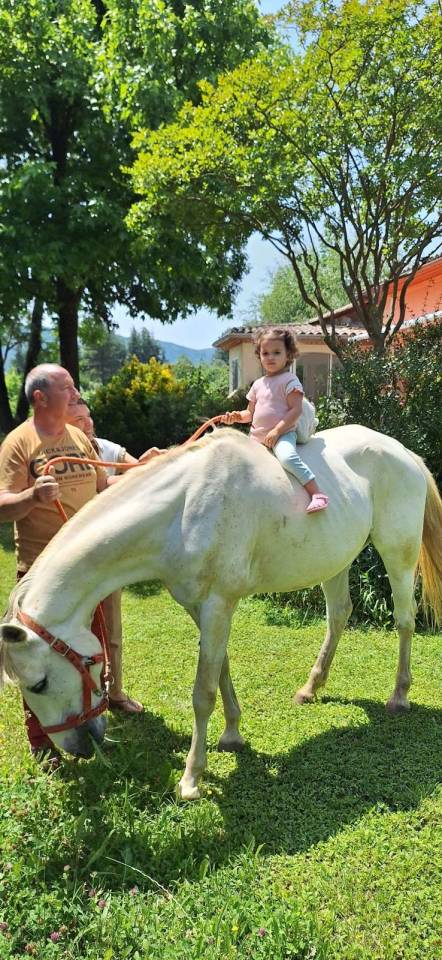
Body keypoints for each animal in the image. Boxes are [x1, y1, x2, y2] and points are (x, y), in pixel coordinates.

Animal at [1, 426, 441, 799]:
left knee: (405, 620)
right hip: (335, 561)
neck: (181, 510)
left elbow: (203, 692)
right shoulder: (201, 606)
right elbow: (221, 668)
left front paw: (192, 777)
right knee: (338, 615)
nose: (77, 746)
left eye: (39, 683)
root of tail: (404, 452)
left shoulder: (218, 604)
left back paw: (399, 695)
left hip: (398, 552)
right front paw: (232, 734)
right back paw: (311, 688)